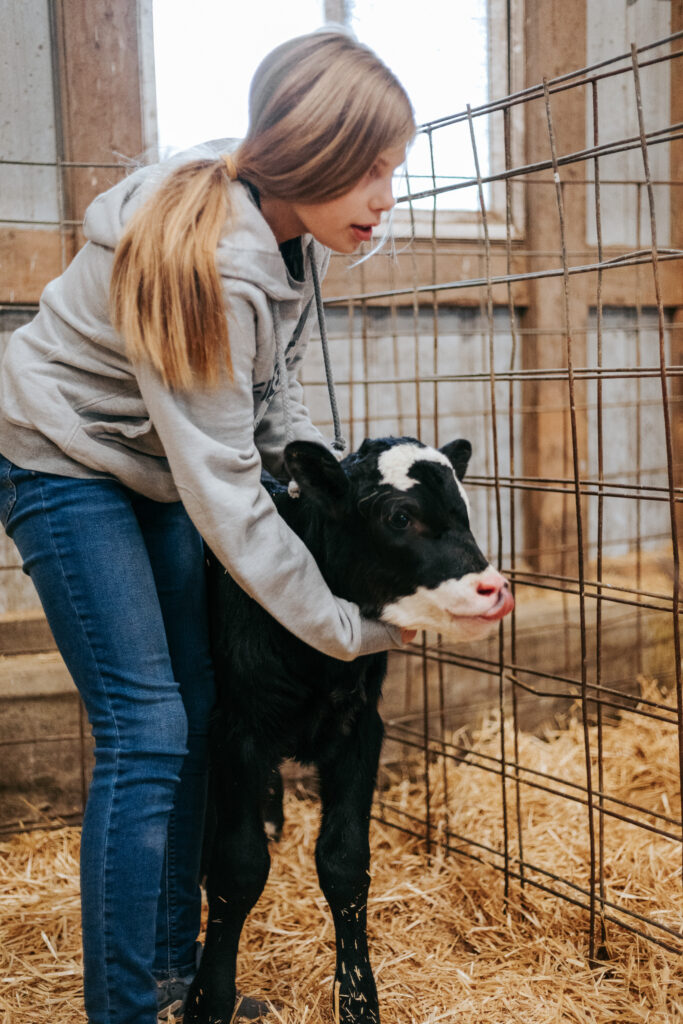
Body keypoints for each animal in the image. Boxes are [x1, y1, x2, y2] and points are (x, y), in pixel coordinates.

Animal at [187, 438, 511, 1024]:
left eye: (466, 509)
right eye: (399, 516)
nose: (493, 589)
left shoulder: (360, 730)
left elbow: (344, 863)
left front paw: (360, 1001)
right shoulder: (237, 730)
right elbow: (239, 867)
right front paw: (210, 1000)